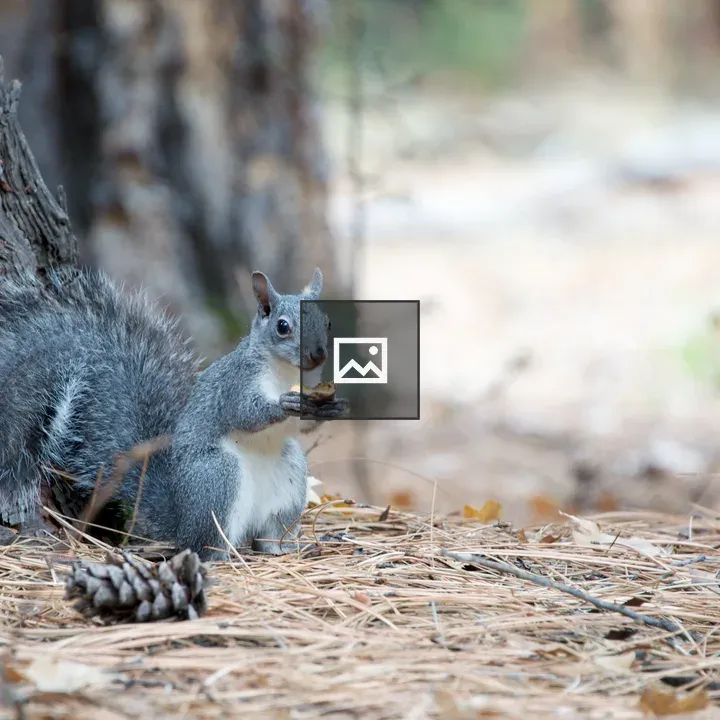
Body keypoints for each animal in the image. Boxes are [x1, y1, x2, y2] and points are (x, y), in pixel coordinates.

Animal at [0, 265, 347, 560]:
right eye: (282, 326)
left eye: (327, 320)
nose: (318, 355)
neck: (285, 375)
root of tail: (181, 518)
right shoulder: (234, 385)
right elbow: (245, 414)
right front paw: (284, 404)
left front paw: (334, 407)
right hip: (217, 478)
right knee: (206, 546)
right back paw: (224, 556)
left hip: (289, 479)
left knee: (269, 534)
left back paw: (285, 548)